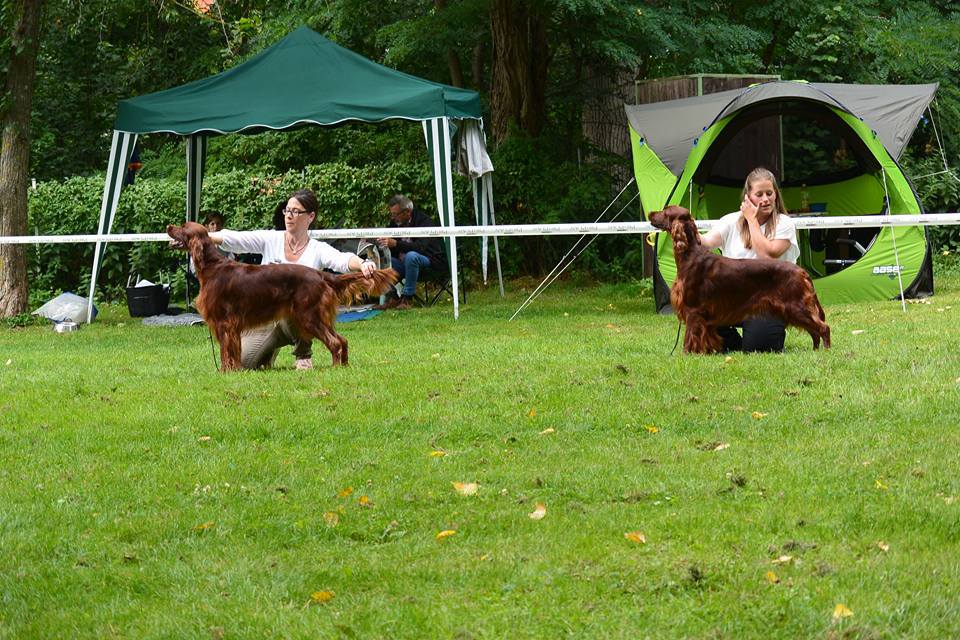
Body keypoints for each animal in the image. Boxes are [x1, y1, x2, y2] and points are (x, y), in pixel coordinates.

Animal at [648, 205, 830, 354]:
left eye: (665, 211)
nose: (650, 213)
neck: (691, 254)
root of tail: (801, 271)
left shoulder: (693, 310)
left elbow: (689, 337)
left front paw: (686, 354)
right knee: (814, 331)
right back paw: (815, 351)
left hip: (795, 306)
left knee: (823, 328)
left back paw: (826, 352)